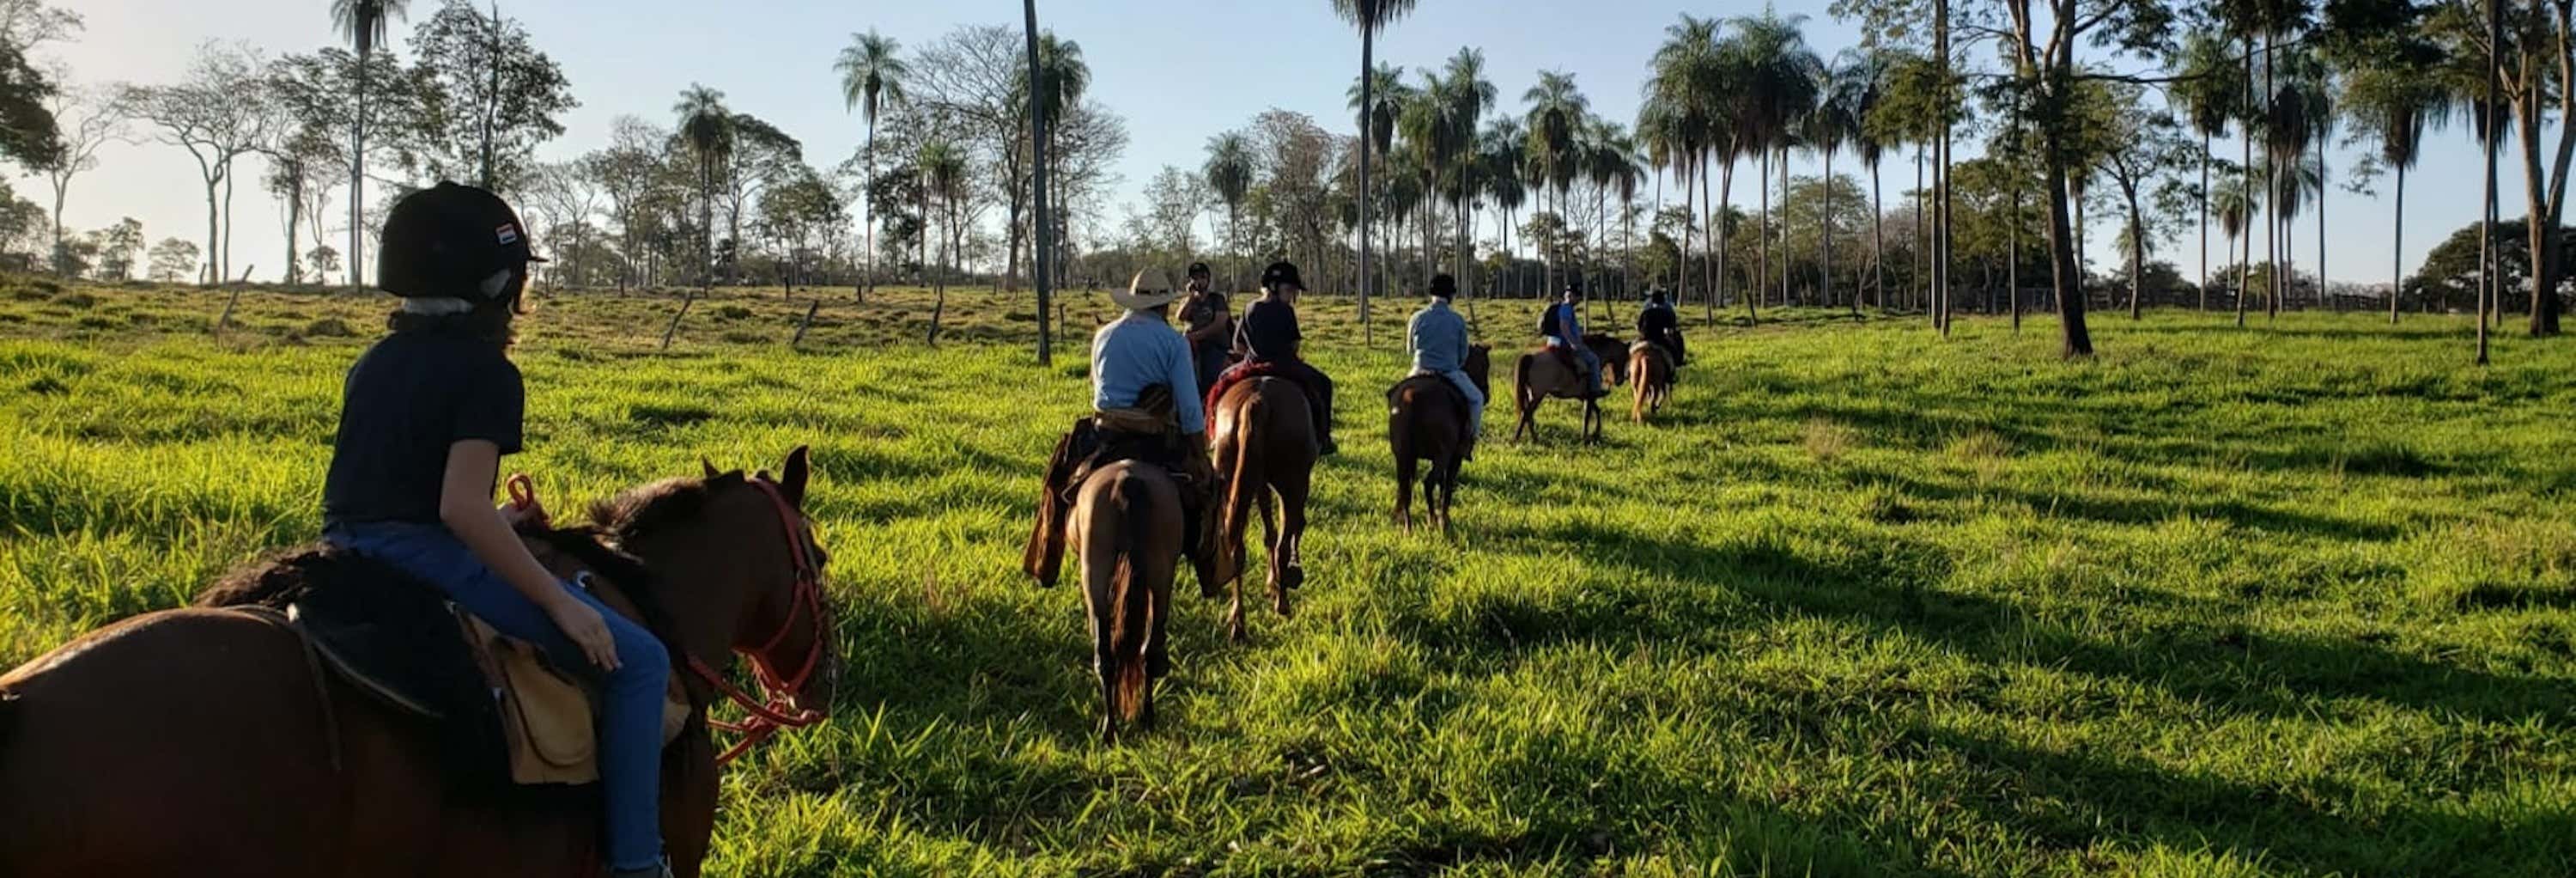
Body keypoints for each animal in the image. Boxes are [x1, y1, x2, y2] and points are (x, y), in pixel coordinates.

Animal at [1061, 455, 1180, 741]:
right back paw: (1142, 719)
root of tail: (1128, 479)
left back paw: (1114, 727)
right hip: (1160, 574)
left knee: (1108, 652)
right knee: (1146, 649)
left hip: (1094, 571)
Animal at [1206, 373, 1319, 638]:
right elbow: (1287, 530)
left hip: (1230, 481)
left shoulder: (1258, 483)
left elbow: (1268, 529)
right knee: (1283, 546)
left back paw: (1238, 623)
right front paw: (1280, 580)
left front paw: (1271, 582)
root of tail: (1257, 401)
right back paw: (1282, 603)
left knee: (1236, 549)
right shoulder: (1294, 487)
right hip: (1292, 485)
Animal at [1391, 342, 1494, 533]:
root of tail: (1411, 398)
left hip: (1403, 456)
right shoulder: (1455, 458)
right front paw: (1444, 519)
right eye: (1485, 365)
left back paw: (1408, 527)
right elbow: (1447, 485)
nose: (1487, 395)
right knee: (1428, 483)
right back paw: (1432, 520)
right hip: (1442, 456)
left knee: (1406, 488)